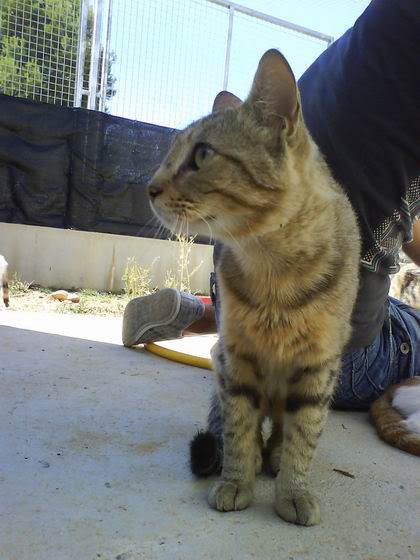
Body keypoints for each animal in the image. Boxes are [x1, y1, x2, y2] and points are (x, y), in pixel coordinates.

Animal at [148, 49, 360, 524]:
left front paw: (294, 489)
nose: (148, 187)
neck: (272, 267)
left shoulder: (317, 368)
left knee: (281, 429)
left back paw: (276, 456)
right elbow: (239, 430)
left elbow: (303, 437)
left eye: (202, 154)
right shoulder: (236, 359)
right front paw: (236, 481)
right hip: (220, 364)